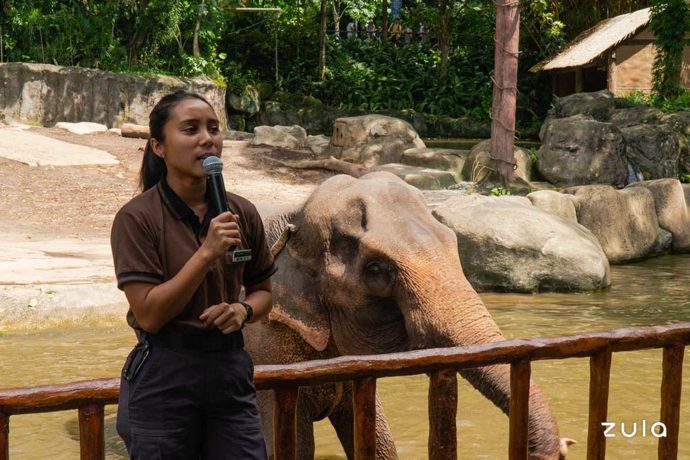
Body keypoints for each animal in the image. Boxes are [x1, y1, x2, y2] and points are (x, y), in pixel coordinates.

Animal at [245, 171, 568, 458]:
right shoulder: (266, 351)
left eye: (453, 242)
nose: (563, 446)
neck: (294, 215)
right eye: (376, 268)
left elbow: (378, 439)